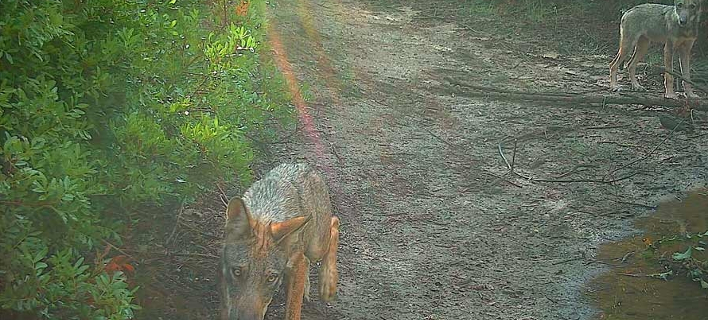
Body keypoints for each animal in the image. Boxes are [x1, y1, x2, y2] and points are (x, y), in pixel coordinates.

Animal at [223, 164, 342, 320]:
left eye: (271, 278)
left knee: (334, 223)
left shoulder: (297, 263)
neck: (266, 213)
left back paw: (327, 285)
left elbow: (292, 312)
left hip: (316, 247)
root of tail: (303, 165)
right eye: (236, 272)